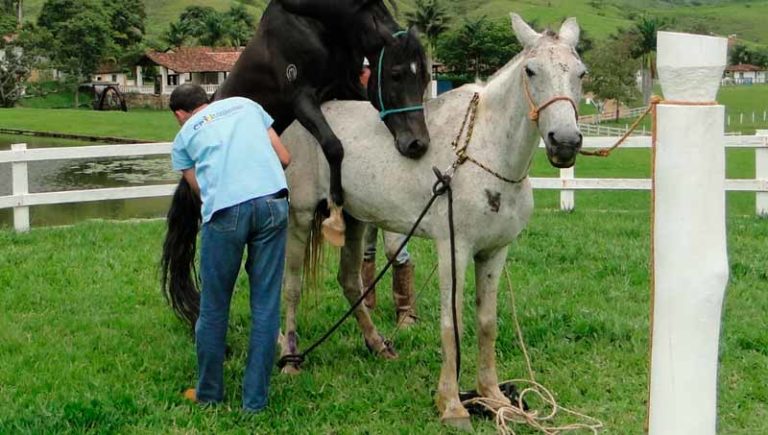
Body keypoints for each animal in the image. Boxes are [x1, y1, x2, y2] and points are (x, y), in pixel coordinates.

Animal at [161, 0, 432, 330]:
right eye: (395, 74)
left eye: (425, 78)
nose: (417, 144)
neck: (318, 23)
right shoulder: (302, 98)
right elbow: (334, 145)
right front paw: (336, 203)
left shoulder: (346, 87)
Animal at [280, 15, 584, 430]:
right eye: (531, 70)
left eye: (581, 73)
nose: (565, 142)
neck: (482, 153)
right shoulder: (453, 249)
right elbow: (451, 322)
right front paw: (452, 405)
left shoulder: (494, 253)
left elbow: (486, 322)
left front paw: (492, 397)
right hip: (299, 216)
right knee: (292, 286)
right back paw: (290, 358)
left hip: (355, 219)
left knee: (350, 281)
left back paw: (378, 346)